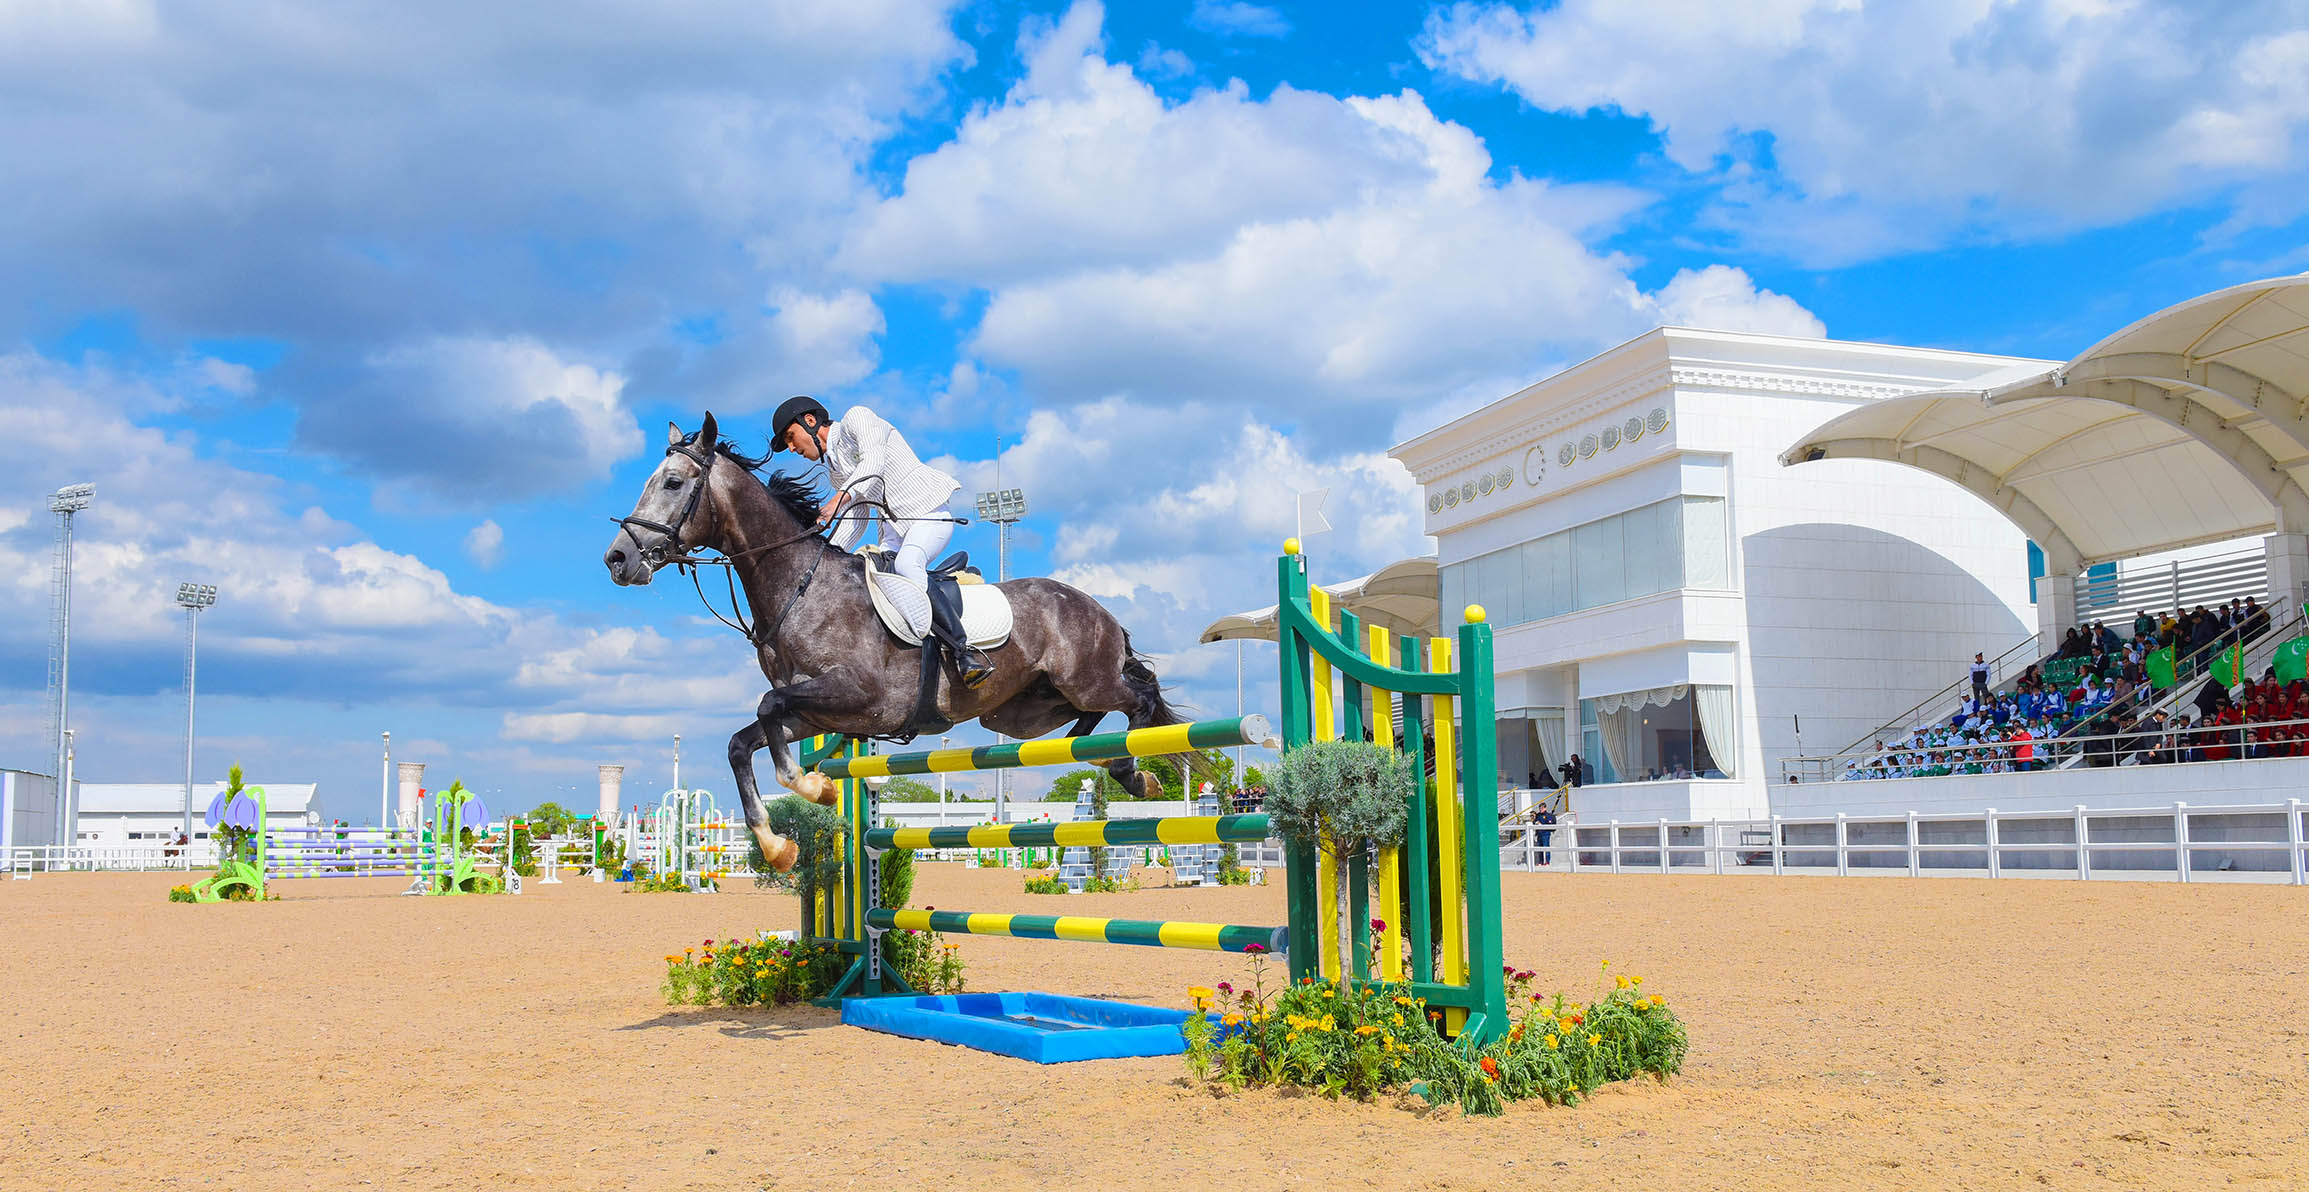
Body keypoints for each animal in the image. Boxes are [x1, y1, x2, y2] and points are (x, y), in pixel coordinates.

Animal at [604, 413, 1182, 868]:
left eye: (672, 483)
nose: (618, 559)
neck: (800, 587)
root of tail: (1095, 606)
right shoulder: (815, 713)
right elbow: (742, 741)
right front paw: (778, 845)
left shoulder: (857, 694)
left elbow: (767, 707)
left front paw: (815, 787)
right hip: (1022, 712)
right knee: (1088, 722)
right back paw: (1107, 762)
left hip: (1084, 679)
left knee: (1139, 696)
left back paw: (1132, 773)